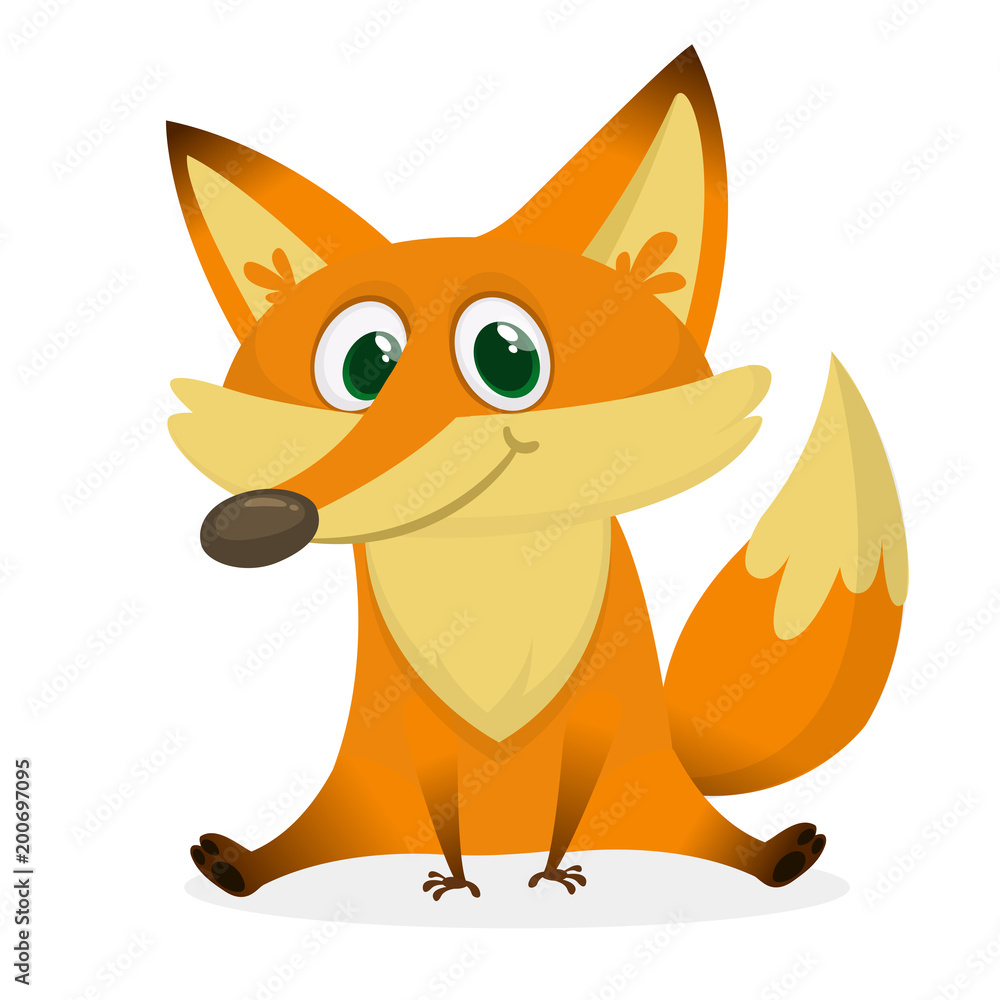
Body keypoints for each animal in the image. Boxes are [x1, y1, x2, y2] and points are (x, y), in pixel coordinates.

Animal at [166, 47, 908, 901]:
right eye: (363, 368)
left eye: (505, 358)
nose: (251, 523)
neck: (493, 584)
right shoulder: (401, 726)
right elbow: (442, 808)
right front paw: (456, 882)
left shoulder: (603, 713)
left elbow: (572, 799)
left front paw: (552, 873)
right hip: (362, 790)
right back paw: (246, 864)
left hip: (650, 781)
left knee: (699, 834)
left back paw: (764, 856)